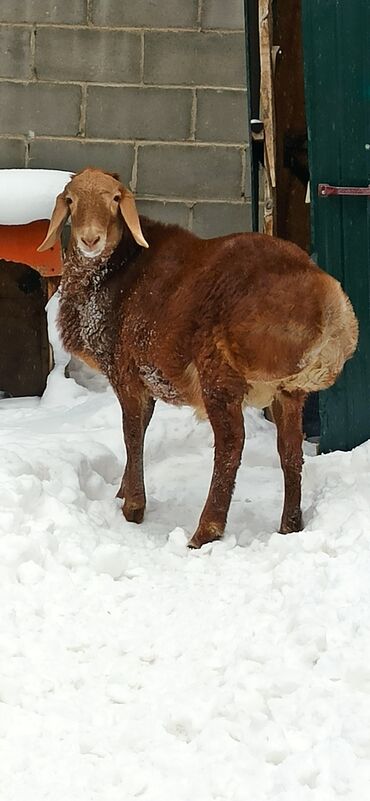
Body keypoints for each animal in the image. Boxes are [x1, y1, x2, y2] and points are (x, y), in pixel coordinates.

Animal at [38, 166, 358, 548]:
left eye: (115, 199)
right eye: (71, 200)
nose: (90, 240)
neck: (113, 273)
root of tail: (327, 307)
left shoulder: (125, 371)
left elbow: (132, 434)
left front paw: (132, 507)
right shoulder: (146, 378)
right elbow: (140, 428)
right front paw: (121, 493)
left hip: (219, 371)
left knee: (232, 444)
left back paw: (205, 532)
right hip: (289, 391)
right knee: (290, 451)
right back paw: (290, 525)